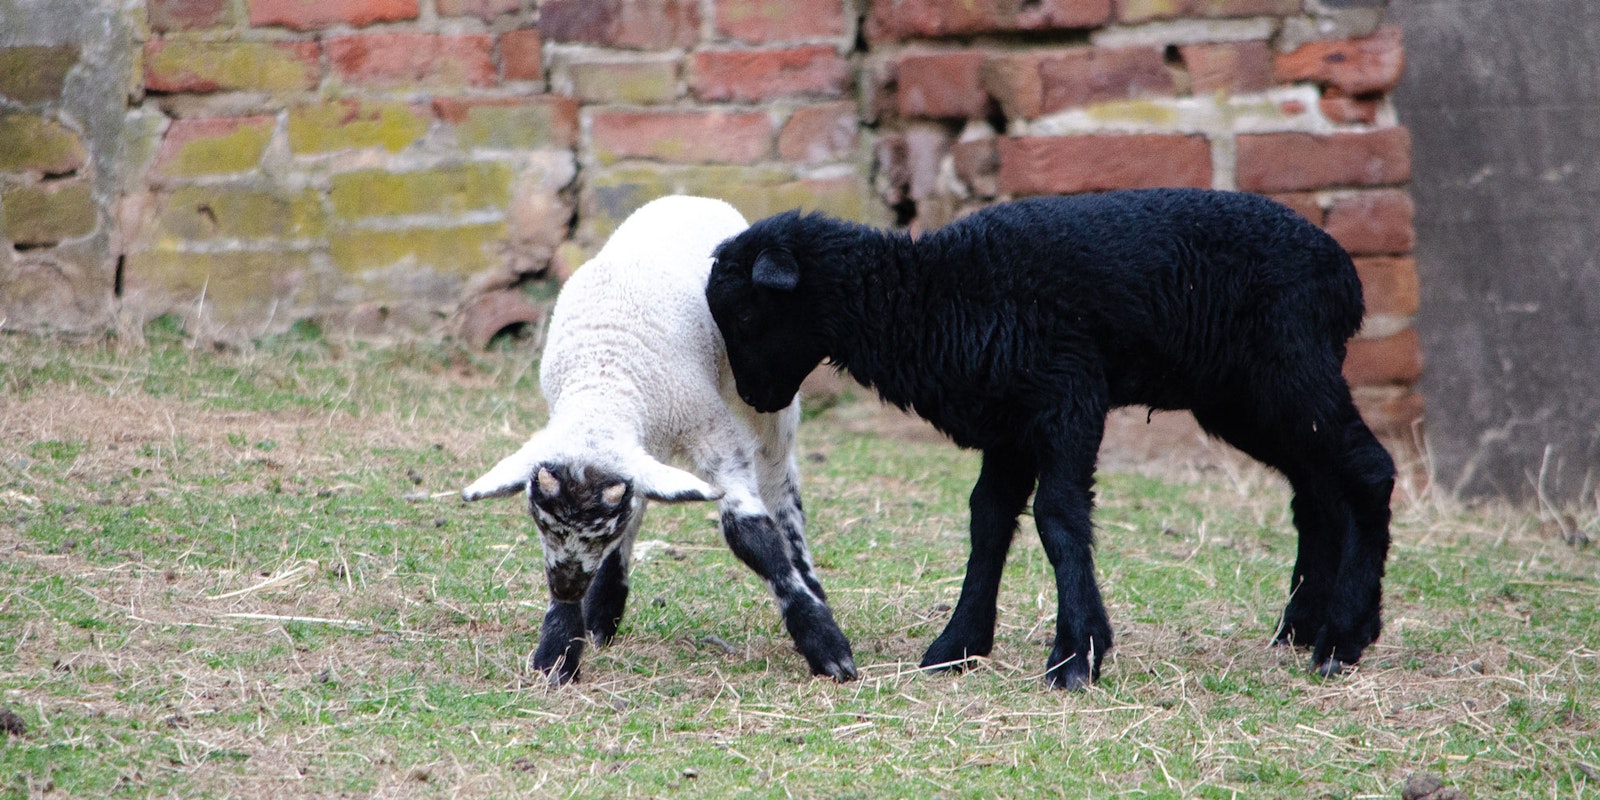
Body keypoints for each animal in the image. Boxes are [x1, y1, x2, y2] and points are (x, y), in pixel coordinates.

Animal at [463, 195, 855, 685]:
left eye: (601, 530)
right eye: (540, 520)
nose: (567, 586)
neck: (606, 376)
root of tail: (690, 197)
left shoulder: (711, 428)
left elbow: (752, 536)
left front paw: (824, 642)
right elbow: (632, 510)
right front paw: (560, 646)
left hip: (765, 396)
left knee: (781, 483)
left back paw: (808, 576)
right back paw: (602, 609)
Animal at [706, 188, 1396, 689]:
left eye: (744, 313)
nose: (754, 397)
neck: (930, 297)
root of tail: (1346, 276)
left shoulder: (1068, 396)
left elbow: (1058, 518)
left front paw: (1074, 657)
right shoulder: (1010, 421)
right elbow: (987, 519)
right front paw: (956, 646)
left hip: (1291, 368)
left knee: (1369, 470)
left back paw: (1342, 640)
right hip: (1245, 398)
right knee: (1318, 491)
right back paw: (1307, 628)